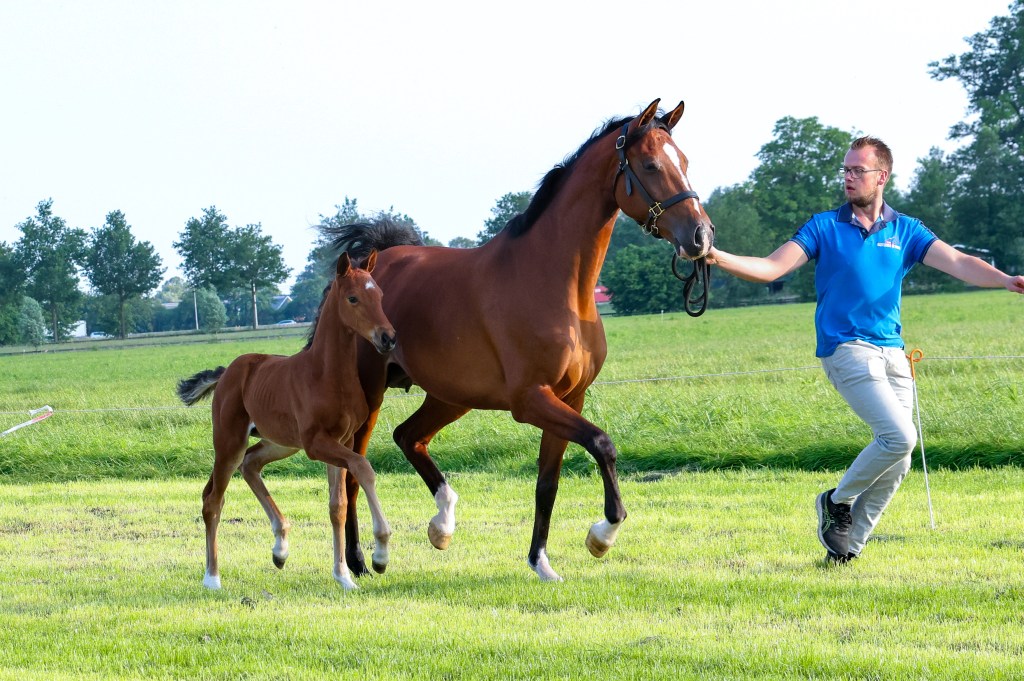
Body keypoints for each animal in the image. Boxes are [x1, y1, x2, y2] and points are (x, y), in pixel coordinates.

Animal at [176, 251, 397, 590]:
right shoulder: (317, 444)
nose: (388, 338)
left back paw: (280, 548)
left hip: (279, 443)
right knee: (213, 499)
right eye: (353, 298)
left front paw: (343, 576)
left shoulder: (341, 440)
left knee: (250, 465)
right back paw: (212, 578)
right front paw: (380, 554)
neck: (327, 374)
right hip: (229, 442)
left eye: (381, 295)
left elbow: (337, 507)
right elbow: (363, 468)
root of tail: (227, 372)